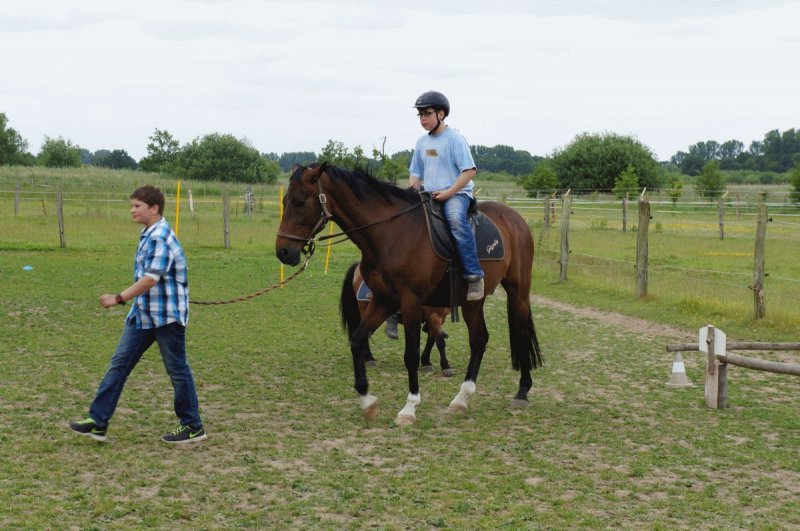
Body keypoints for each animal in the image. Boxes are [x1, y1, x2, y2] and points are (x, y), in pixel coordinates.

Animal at [276, 163, 542, 425]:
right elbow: (358, 340)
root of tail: (515, 219)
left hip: (518, 290)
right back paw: (461, 399)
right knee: (479, 339)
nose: (283, 252)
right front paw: (368, 401)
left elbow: (412, 354)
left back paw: (522, 392)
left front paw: (409, 407)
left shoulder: (411, 301)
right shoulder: (383, 300)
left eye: (299, 201)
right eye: (285, 200)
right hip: (472, 301)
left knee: (520, 332)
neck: (390, 233)